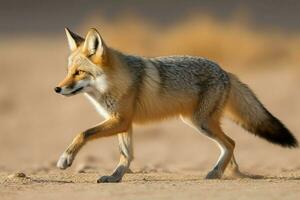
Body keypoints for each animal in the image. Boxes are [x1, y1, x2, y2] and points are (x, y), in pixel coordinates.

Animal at [54, 27, 298, 183]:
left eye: (79, 72)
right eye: (68, 71)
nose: (57, 89)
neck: (115, 82)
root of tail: (225, 71)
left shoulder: (120, 120)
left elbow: (83, 133)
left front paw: (66, 158)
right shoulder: (123, 123)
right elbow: (126, 154)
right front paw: (115, 176)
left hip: (201, 122)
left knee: (231, 142)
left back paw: (216, 173)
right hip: (197, 121)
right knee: (228, 145)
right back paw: (229, 172)